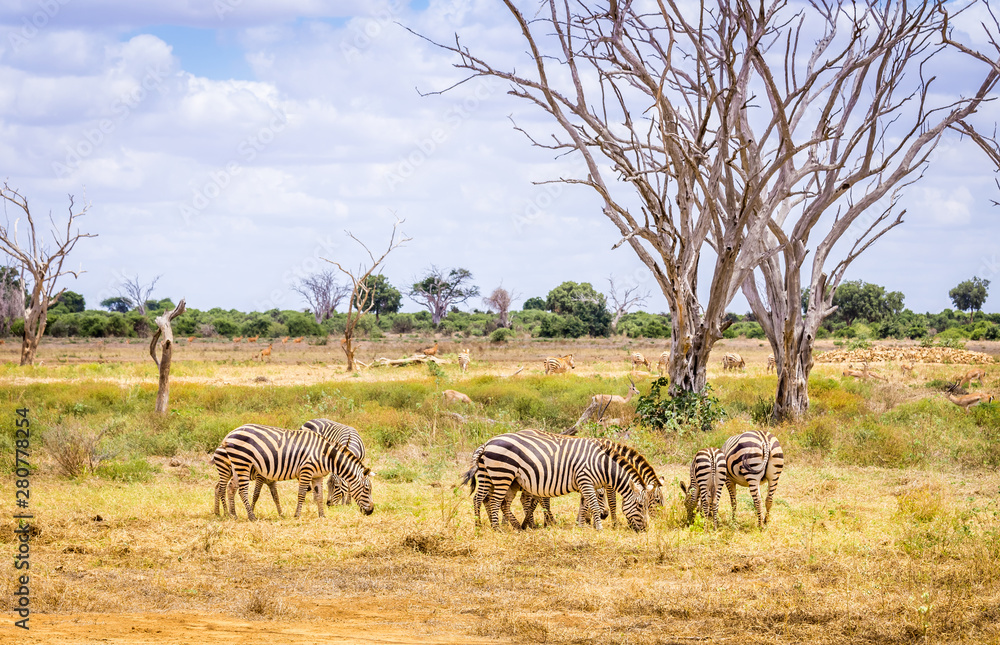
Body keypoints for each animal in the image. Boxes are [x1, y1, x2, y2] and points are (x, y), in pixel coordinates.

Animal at [221, 424, 374, 521]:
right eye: (367, 489)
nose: (371, 511)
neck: (324, 455)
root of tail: (230, 433)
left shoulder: (317, 476)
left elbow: (319, 496)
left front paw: (322, 516)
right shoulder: (306, 470)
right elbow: (301, 494)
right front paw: (297, 515)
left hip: (238, 465)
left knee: (231, 487)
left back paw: (233, 515)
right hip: (243, 463)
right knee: (242, 491)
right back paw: (251, 516)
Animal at [472, 430, 648, 531]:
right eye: (640, 505)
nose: (645, 529)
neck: (599, 464)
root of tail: (487, 443)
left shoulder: (585, 483)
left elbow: (584, 505)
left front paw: (581, 526)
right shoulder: (585, 480)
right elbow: (593, 505)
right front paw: (598, 527)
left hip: (499, 478)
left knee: (490, 500)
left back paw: (502, 526)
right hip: (502, 475)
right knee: (494, 501)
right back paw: (496, 528)